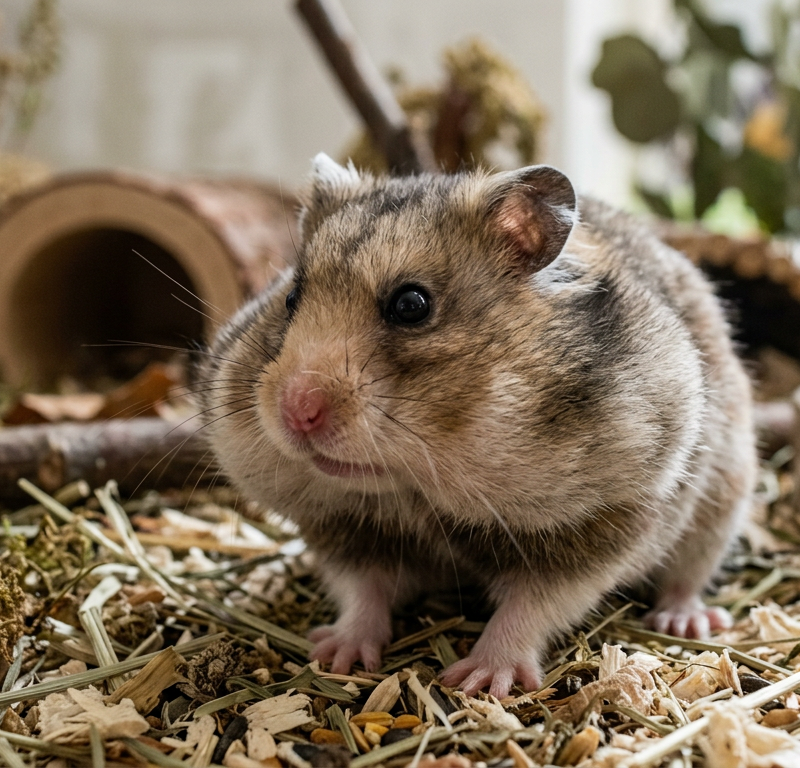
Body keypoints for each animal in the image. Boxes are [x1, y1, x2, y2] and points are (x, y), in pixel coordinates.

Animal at [197, 153, 756, 698]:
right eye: (291, 299)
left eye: (411, 305)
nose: (296, 413)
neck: (413, 489)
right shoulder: (344, 529)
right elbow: (363, 592)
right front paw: (335, 656)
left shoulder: (604, 523)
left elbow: (532, 608)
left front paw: (480, 680)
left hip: (723, 502)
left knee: (687, 578)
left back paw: (684, 621)